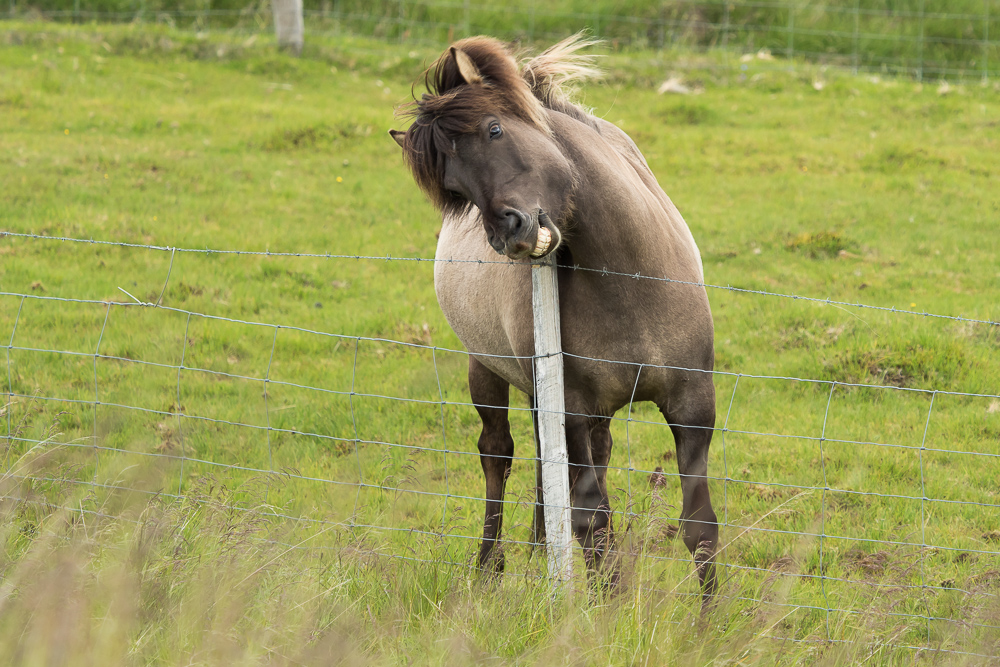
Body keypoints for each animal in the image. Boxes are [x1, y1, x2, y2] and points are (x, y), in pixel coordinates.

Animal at [390, 34, 720, 600]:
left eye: (494, 129)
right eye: (454, 187)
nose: (509, 232)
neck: (627, 279)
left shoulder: (692, 405)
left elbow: (698, 526)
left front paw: (713, 619)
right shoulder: (571, 407)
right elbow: (593, 524)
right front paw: (606, 612)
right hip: (486, 369)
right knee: (498, 454)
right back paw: (491, 564)